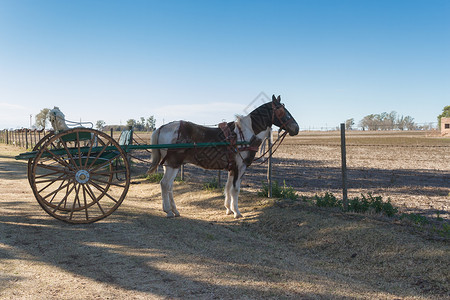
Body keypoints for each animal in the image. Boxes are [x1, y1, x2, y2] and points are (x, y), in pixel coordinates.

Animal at [148, 95, 300, 218]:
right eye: (281, 110)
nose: (296, 128)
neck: (245, 134)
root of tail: (162, 127)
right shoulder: (240, 166)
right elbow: (235, 189)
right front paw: (237, 212)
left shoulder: (232, 168)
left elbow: (227, 187)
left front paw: (229, 209)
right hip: (173, 164)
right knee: (165, 184)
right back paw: (168, 211)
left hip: (170, 165)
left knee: (169, 186)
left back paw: (175, 210)